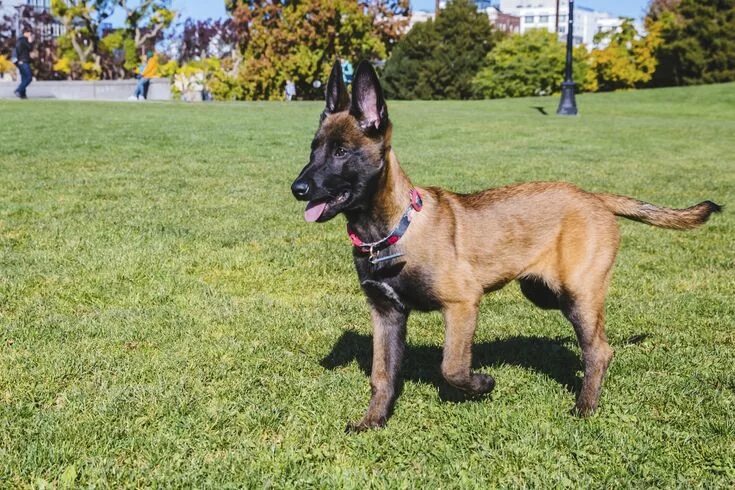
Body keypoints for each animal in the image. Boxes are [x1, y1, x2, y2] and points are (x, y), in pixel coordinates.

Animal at [290, 59, 720, 430]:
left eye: (341, 152)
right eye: (313, 149)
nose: (297, 189)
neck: (392, 231)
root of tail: (595, 196)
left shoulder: (463, 303)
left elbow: (452, 367)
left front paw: (482, 385)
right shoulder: (386, 314)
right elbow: (382, 375)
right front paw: (373, 421)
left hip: (577, 293)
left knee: (599, 349)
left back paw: (585, 407)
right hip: (544, 292)